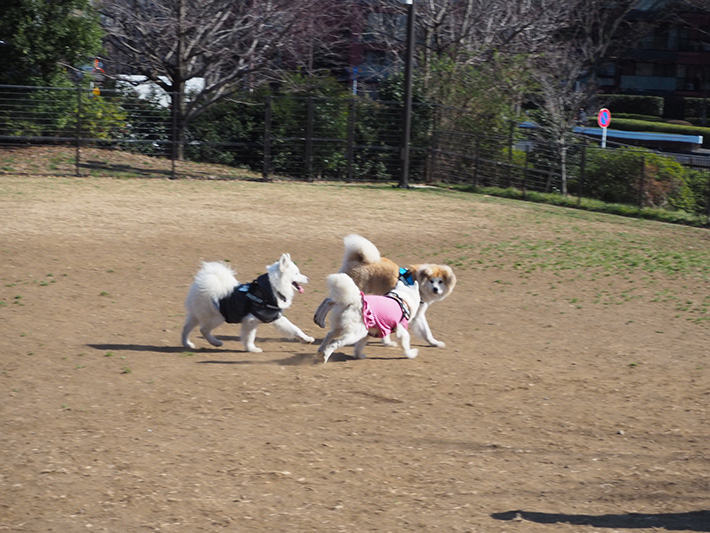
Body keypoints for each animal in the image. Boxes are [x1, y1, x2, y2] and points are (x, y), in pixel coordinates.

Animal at [182, 255, 316, 354]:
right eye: (297, 273)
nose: (309, 279)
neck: (269, 290)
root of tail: (205, 281)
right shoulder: (251, 320)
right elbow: (250, 336)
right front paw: (252, 349)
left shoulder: (274, 317)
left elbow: (294, 328)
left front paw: (306, 339)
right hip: (217, 317)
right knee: (203, 329)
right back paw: (215, 342)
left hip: (197, 315)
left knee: (186, 328)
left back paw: (187, 344)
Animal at [314, 235, 458, 348]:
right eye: (431, 281)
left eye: (440, 282)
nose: (435, 289)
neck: (417, 281)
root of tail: (357, 258)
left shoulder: (418, 315)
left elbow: (426, 332)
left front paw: (434, 342)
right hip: (355, 290)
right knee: (329, 302)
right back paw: (320, 320)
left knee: (327, 300)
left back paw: (318, 320)